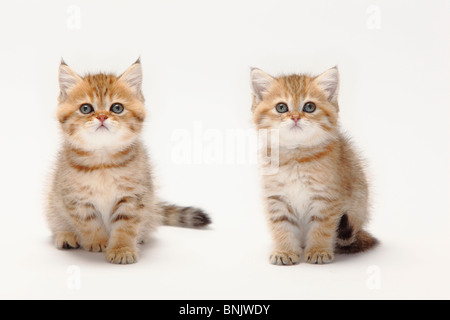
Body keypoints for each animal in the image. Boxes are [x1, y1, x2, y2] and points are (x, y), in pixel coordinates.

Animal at [46, 58, 212, 264]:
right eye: (86, 109)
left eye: (117, 108)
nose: (102, 116)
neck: (103, 163)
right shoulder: (74, 198)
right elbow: (88, 222)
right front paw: (98, 241)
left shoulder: (134, 197)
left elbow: (126, 226)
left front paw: (121, 249)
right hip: (52, 202)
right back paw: (66, 235)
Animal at [251, 65, 378, 264]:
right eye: (281, 107)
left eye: (309, 107)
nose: (295, 117)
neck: (295, 157)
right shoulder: (276, 197)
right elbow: (281, 226)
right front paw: (284, 250)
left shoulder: (326, 198)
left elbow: (321, 227)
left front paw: (319, 250)